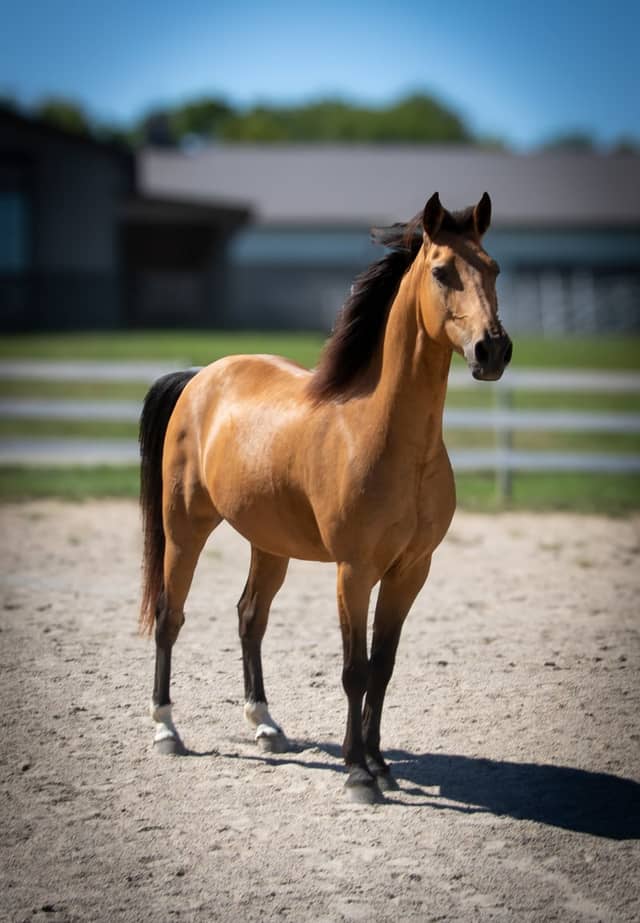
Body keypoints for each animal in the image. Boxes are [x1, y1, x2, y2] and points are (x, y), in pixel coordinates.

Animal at [138, 191, 512, 804]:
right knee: (171, 616)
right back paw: (167, 730)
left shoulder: (411, 571)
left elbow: (383, 666)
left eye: (494, 268)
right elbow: (354, 670)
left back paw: (266, 725)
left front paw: (381, 764)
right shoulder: (354, 571)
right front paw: (359, 773)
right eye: (442, 271)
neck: (385, 437)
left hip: (269, 544)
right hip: (184, 528)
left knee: (249, 618)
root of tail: (200, 377)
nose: (493, 350)